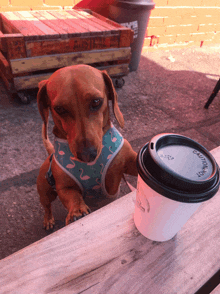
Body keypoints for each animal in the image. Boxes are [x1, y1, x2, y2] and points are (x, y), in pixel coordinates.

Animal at [37, 64, 138, 230]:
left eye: (96, 101)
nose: (87, 155)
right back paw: (48, 220)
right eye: (59, 109)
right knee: (46, 206)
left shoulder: (128, 163)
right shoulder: (64, 188)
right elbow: (73, 196)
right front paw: (77, 211)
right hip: (45, 191)